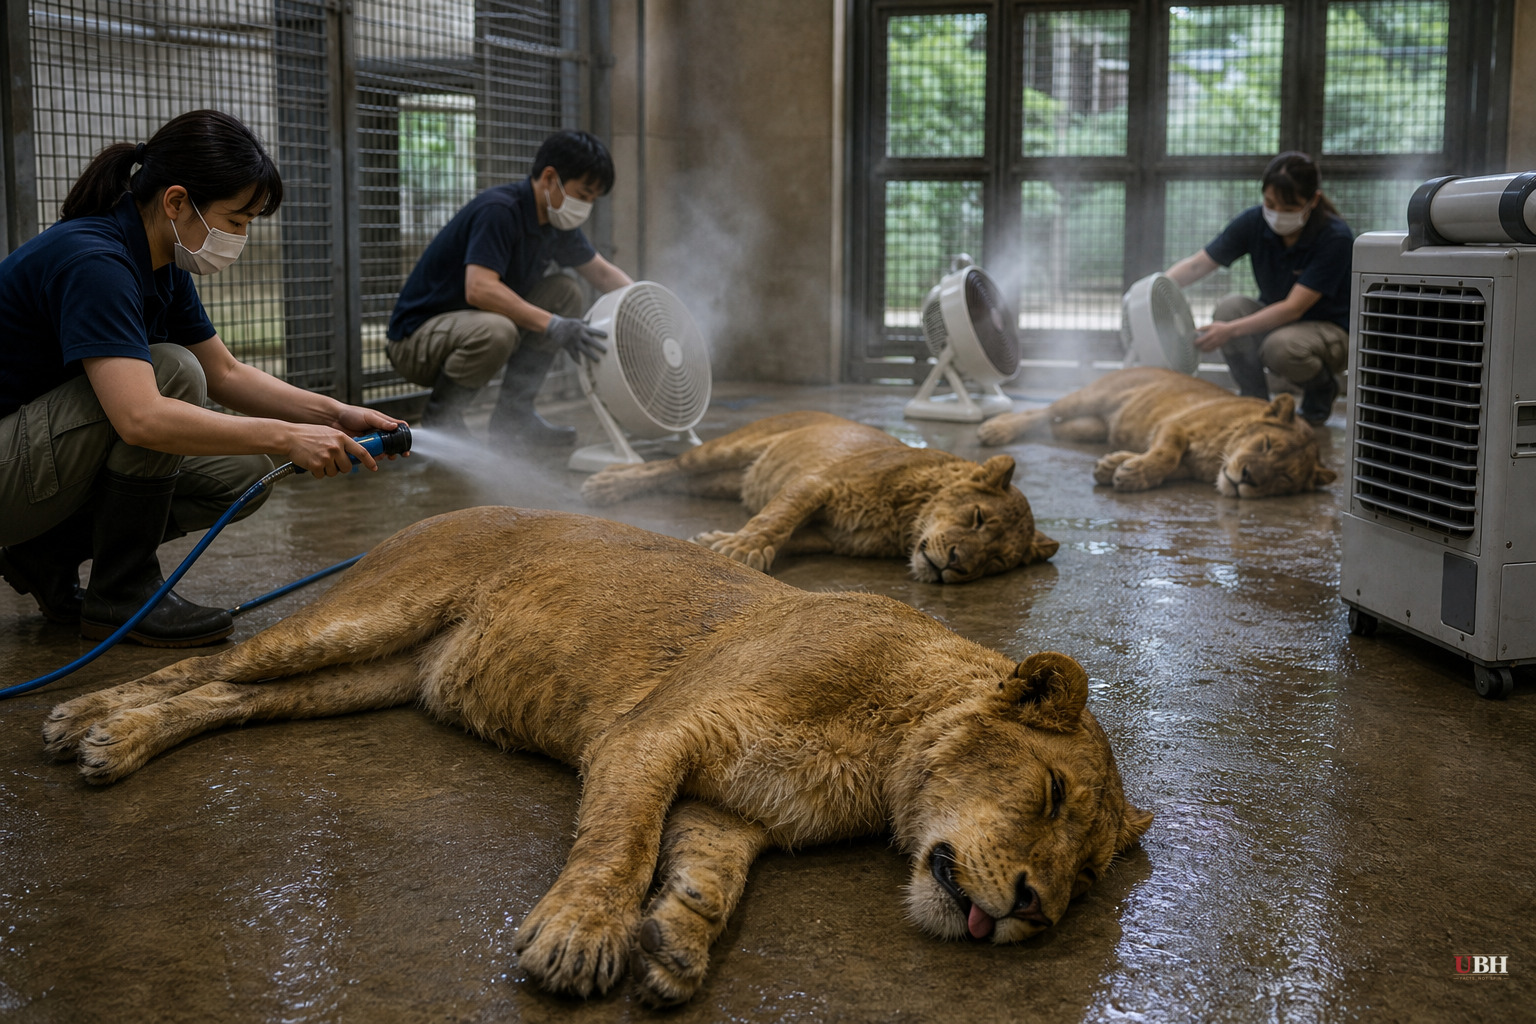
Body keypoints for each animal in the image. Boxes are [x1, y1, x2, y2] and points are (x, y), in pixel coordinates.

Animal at [41, 507, 1151, 1006]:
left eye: (1089, 877)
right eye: (1052, 791)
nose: (1033, 909)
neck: (882, 761)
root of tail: (428, 513)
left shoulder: (735, 808)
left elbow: (701, 877)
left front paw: (675, 948)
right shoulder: (651, 735)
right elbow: (618, 843)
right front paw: (581, 937)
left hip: (366, 679)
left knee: (230, 699)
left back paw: (114, 738)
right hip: (358, 622)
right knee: (212, 663)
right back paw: (87, 718)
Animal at [580, 410, 1058, 582]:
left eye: (995, 562)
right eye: (977, 517)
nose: (956, 565)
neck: (900, 525)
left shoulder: (829, 537)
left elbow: (786, 536)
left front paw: (724, 542)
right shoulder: (817, 482)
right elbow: (777, 518)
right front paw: (738, 548)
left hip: (720, 480)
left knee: (676, 479)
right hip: (728, 450)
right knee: (669, 464)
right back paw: (607, 483)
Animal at [976, 367, 1337, 497]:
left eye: (1284, 478)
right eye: (1265, 445)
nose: (1247, 478)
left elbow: (1167, 466)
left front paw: (1115, 466)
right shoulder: (1175, 425)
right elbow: (1166, 452)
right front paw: (1134, 472)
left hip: (1089, 429)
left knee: (1051, 425)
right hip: (1091, 397)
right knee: (1043, 411)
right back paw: (994, 429)